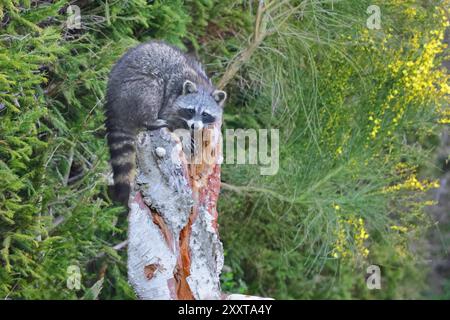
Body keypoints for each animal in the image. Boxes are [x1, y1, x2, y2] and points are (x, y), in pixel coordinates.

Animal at [104, 40, 227, 205]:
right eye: (190, 111)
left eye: (205, 114)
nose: (194, 126)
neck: (201, 85)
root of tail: (113, 102)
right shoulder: (171, 99)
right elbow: (171, 119)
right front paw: (185, 134)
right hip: (136, 88)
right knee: (152, 90)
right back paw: (151, 121)